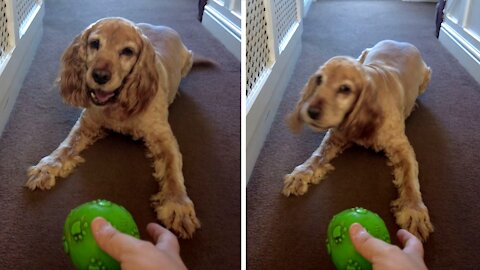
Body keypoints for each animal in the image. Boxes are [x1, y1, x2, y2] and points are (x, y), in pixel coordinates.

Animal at [25, 17, 213, 238]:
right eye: (94, 43)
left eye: (127, 51)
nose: (99, 75)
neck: (117, 104)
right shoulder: (87, 123)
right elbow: (65, 146)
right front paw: (46, 167)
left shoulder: (163, 137)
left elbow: (172, 170)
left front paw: (178, 206)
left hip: (188, 60)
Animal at [284, 39, 436, 240]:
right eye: (319, 80)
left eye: (345, 89)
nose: (311, 111)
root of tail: (401, 42)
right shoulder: (336, 135)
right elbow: (317, 155)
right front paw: (301, 173)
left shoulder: (402, 147)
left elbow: (410, 179)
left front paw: (414, 211)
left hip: (427, 76)